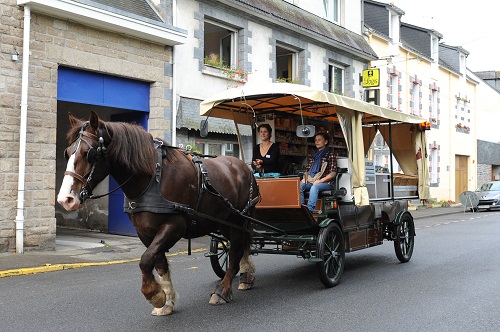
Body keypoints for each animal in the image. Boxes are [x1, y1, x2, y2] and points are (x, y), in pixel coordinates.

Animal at [57, 110, 258, 316]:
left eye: (89, 153)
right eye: (68, 152)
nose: (66, 199)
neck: (152, 179)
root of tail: (244, 167)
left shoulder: (174, 226)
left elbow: (145, 260)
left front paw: (154, 294)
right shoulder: (145, 231)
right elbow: (158, 263)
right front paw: (166, 301)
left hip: (238, 220)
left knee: (235, 251)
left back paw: (223, 290)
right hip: (223, 222)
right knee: (239, 246)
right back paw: (245, 275)